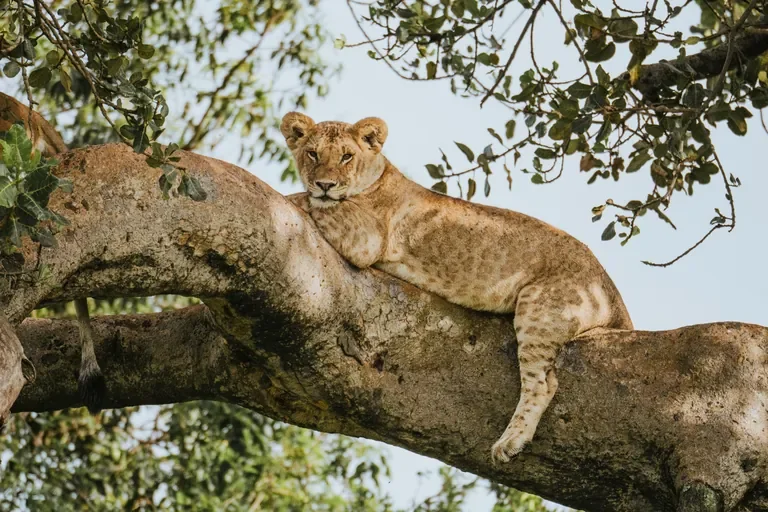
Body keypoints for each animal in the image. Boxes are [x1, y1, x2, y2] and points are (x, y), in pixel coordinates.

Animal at [281, 112, 633, 462]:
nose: (325, 185)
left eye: (346, 156)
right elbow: (313, 200)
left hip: (540, 308)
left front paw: (299, 197)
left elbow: (313, 203)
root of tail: (612, 291)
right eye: (312, 154)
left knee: (543, 383)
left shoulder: (366, 237)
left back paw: (510, 442)